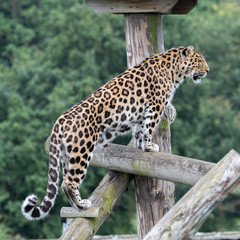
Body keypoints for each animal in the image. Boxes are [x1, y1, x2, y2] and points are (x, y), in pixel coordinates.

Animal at [21, 45, 209, 219]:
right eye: (199, 61)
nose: (208, 70)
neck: (173, 70)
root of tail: (59, 121)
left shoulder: (141, 112)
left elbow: (139, 129)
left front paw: (140, 144)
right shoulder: (155, 106)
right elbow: (149, 126)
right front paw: (149, 146)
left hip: (68, 154)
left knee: (65, 182)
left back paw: (76, 206)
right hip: (82, 152)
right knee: (68, 182)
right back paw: (82, 205)